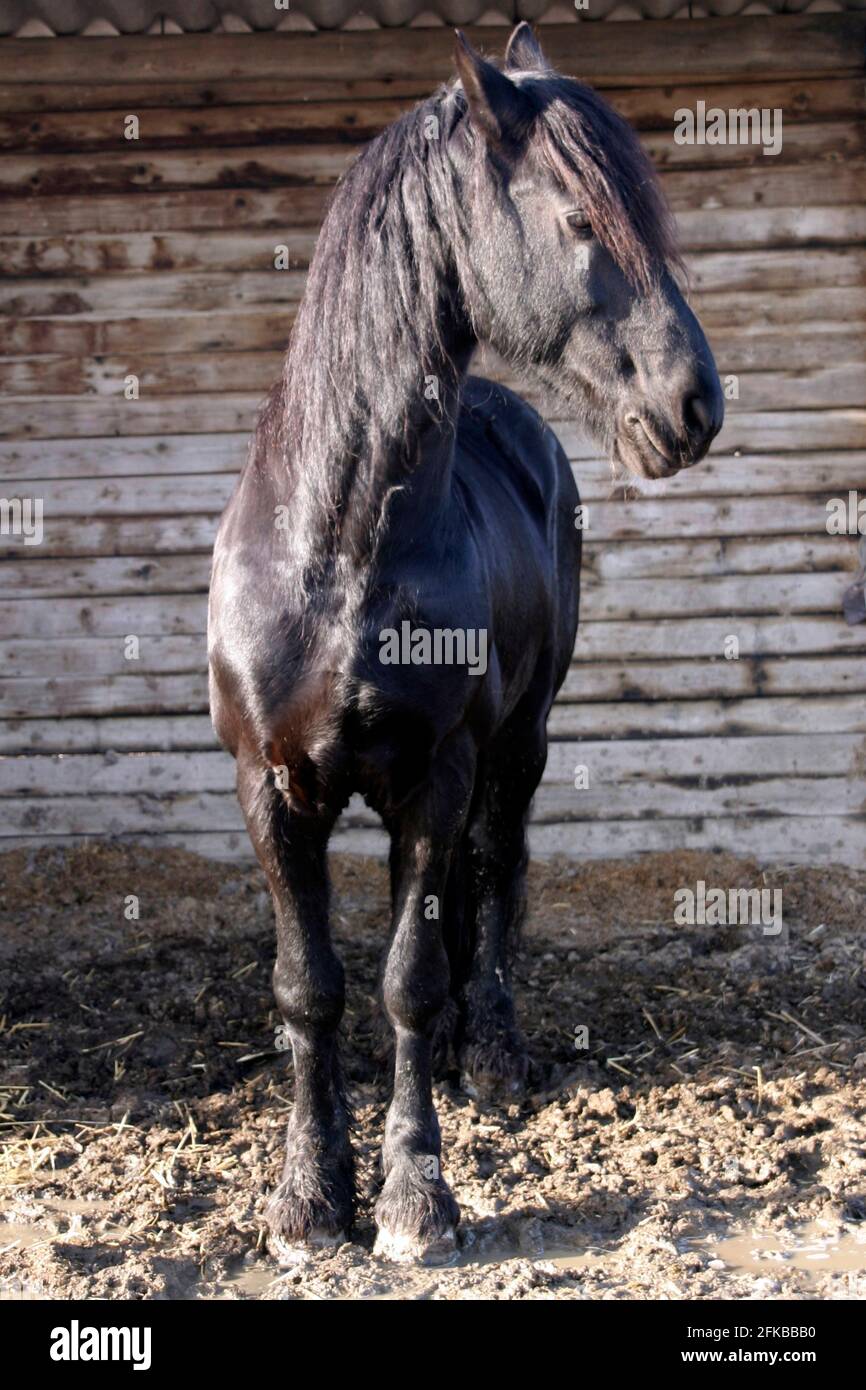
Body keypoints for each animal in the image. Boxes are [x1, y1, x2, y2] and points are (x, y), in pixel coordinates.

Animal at [207, 22, 723, 1265]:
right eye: (580, 219)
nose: (695, 405)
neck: (338, 551)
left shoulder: (433, 779)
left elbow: (404, 979)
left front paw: (412, 1201)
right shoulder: (268, 787)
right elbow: (308, 988)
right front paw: (308, 1200)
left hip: (519, 742)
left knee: (495, 874)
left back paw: (486, 1051)